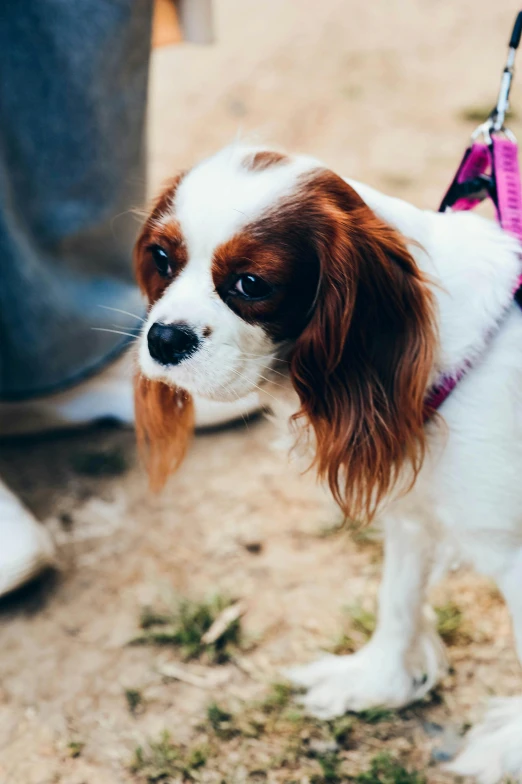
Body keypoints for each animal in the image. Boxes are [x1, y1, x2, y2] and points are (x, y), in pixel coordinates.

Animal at [131, 144, 520, 780]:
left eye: (251, 283)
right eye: (162, 258)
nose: (163, 338)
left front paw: (508, 748)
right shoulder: (413, 514)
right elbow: (397, 600)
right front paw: (377, 680)